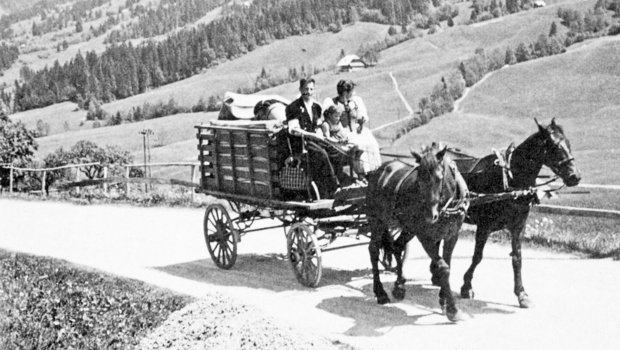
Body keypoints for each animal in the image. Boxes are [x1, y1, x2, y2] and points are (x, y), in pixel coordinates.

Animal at [366, 142, 468, 322]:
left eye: (439, 178)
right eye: (419, 180)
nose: (429, 215)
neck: (446, 206)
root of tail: (379, 170)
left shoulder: (452, 235)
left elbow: (447, 264)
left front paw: (444, 299)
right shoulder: (425, 237)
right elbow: (443, 268)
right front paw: (453, 309)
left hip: (407, 227)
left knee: (397, 246)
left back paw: (399, 285)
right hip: (377, 221)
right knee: (374, 250)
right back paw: (380, 292)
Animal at [450, 119, 580, 308]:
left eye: (569, 143)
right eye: (555, 146)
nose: (575, 176)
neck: (510, 181)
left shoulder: (518, 226)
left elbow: (517, 258)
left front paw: (522, 294)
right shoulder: (484, 226)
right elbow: (477, 257)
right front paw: (466, 286)